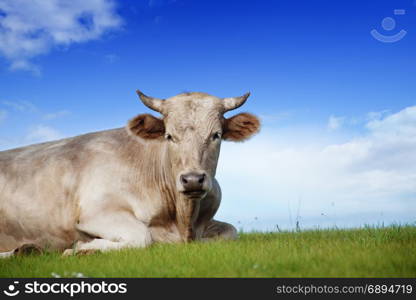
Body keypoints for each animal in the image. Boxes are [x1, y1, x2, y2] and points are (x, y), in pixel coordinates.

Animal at [0, 90, 260, 256]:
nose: (193, 180)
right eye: (169, 136)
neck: (182, 219)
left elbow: (231, 231)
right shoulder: (96, 212)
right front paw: (82, 249)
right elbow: (141, 236)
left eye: (216, 135)